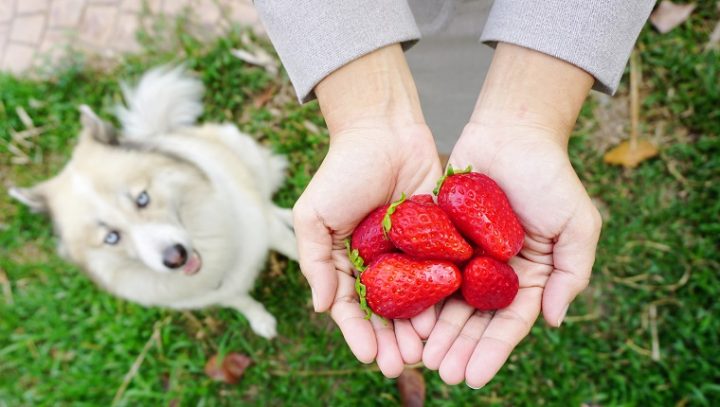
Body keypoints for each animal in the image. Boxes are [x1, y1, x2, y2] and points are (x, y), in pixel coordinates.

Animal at [9, 67, 296, 342]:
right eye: (111, 237)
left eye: (142, 199)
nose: (176, 258)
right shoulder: (214, 292)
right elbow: (242, 301)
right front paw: (260, 320)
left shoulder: (267, 229)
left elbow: (292, 246)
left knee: (267, 198)